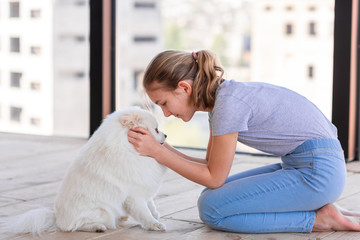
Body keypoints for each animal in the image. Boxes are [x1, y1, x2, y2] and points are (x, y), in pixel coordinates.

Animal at [1, 107, 167, 234]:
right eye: (156, 129)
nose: (166, 135)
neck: (127, 147)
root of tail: (57, 219)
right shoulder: (133, 195)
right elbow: (144, 213)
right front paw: (155, 224)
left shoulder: (142, 185)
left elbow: (150, 203)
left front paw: (155, 213)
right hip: (103, 212)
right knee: (75, 226)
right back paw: (97, 227)